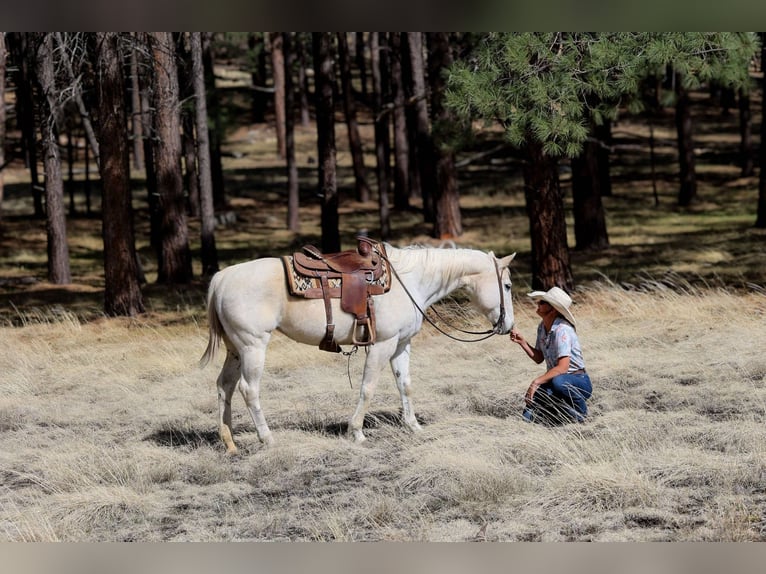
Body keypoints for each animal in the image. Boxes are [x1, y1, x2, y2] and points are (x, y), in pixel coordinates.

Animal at [200, 243, 516, 452]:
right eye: (508, 286)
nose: (508, 326)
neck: (410, 281)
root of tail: (222, 279)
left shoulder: (401, 345)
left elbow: (405, 385)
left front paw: (413, 426)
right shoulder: (382, 345)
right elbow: (368, 387)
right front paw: (357, 433)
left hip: (235, 349)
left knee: (224, 386)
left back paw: (229, 442)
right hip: (253, 346)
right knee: (248, 389)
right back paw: (267, 439)